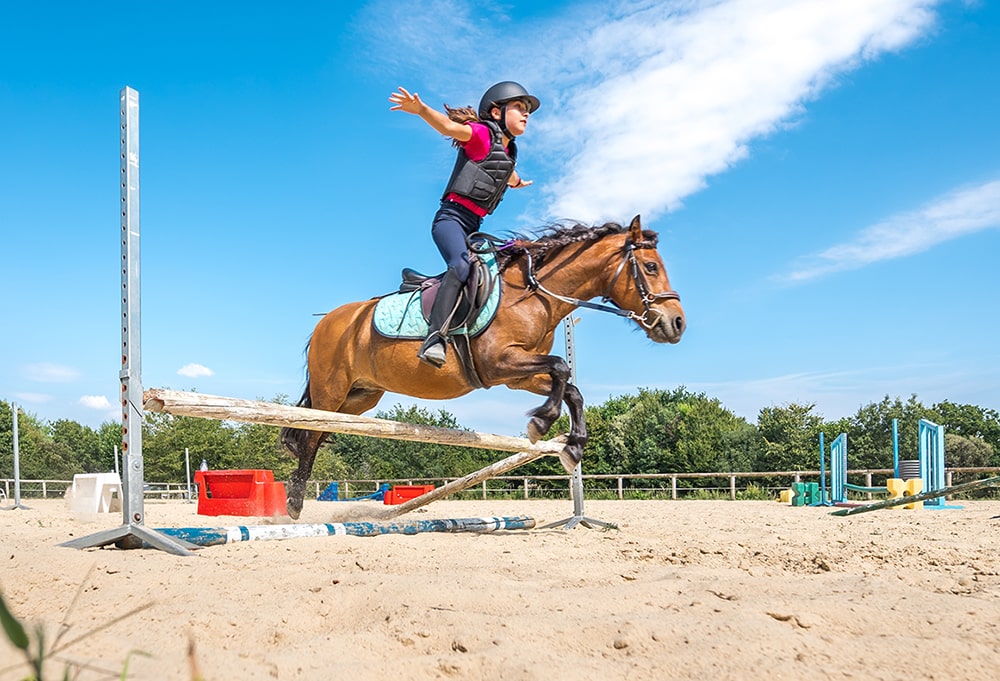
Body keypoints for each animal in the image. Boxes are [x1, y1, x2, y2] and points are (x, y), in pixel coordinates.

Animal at [284, 215, 688, 516]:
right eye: (650, 267)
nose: (677, 323)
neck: (533, 295)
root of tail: (327, 321)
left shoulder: (518, 375)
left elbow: (570, 387)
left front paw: (571, 447)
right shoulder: (499, 363)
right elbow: (562, 367)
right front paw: (541, 425)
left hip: (360, 396)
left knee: (315, 432)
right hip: (331, 389)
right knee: (308, 435)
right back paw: (294, 502)